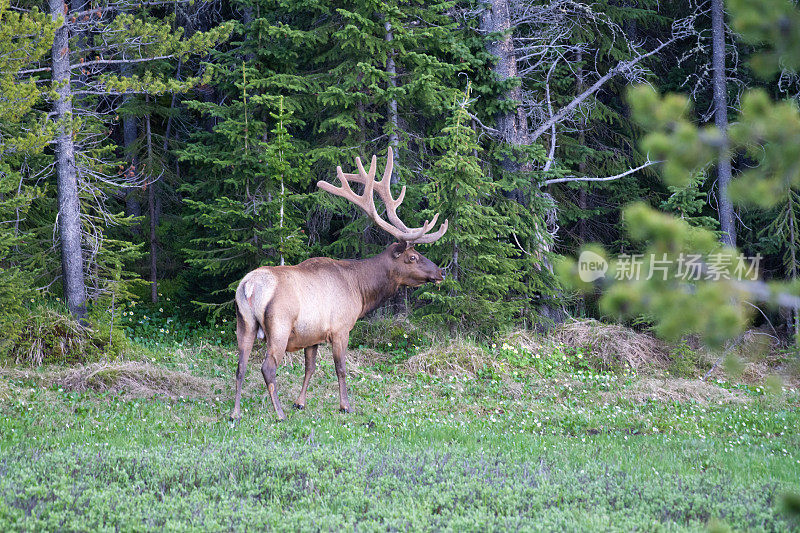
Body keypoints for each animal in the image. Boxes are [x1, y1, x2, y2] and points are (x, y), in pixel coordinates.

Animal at [231, 147, 446, 420]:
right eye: (413, 257)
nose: (440, 272)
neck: (360, 290)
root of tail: (249, 286)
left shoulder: (312, 335)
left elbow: (310, 368)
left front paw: (300, 402)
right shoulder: (341, 328)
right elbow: (340, 368)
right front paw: (345, 406)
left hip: (244, 322)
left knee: (240, 366)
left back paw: (235, 413)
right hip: (279, 325)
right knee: (267, 367)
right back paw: (279, 413)